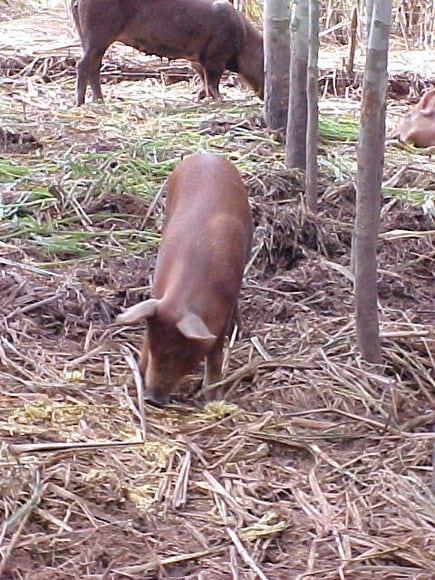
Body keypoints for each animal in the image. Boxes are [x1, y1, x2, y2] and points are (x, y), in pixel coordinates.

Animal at [70, 0, 266, 105]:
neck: (244, 39)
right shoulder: (216, 56)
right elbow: (212, 80)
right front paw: (221, 99)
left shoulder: (197, 59)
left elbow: (202, 77)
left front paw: (198, 97)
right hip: (98, 32)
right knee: (83, 65)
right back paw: (80, 103)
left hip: (85, 34)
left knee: (94, 66)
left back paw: (99, 101)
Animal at [116, 152, 252, 406]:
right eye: (153, 344)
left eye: (182, 351)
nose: (151, 398)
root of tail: (207, 154)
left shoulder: (223, 313)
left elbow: (216, 354)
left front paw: (211, 398)